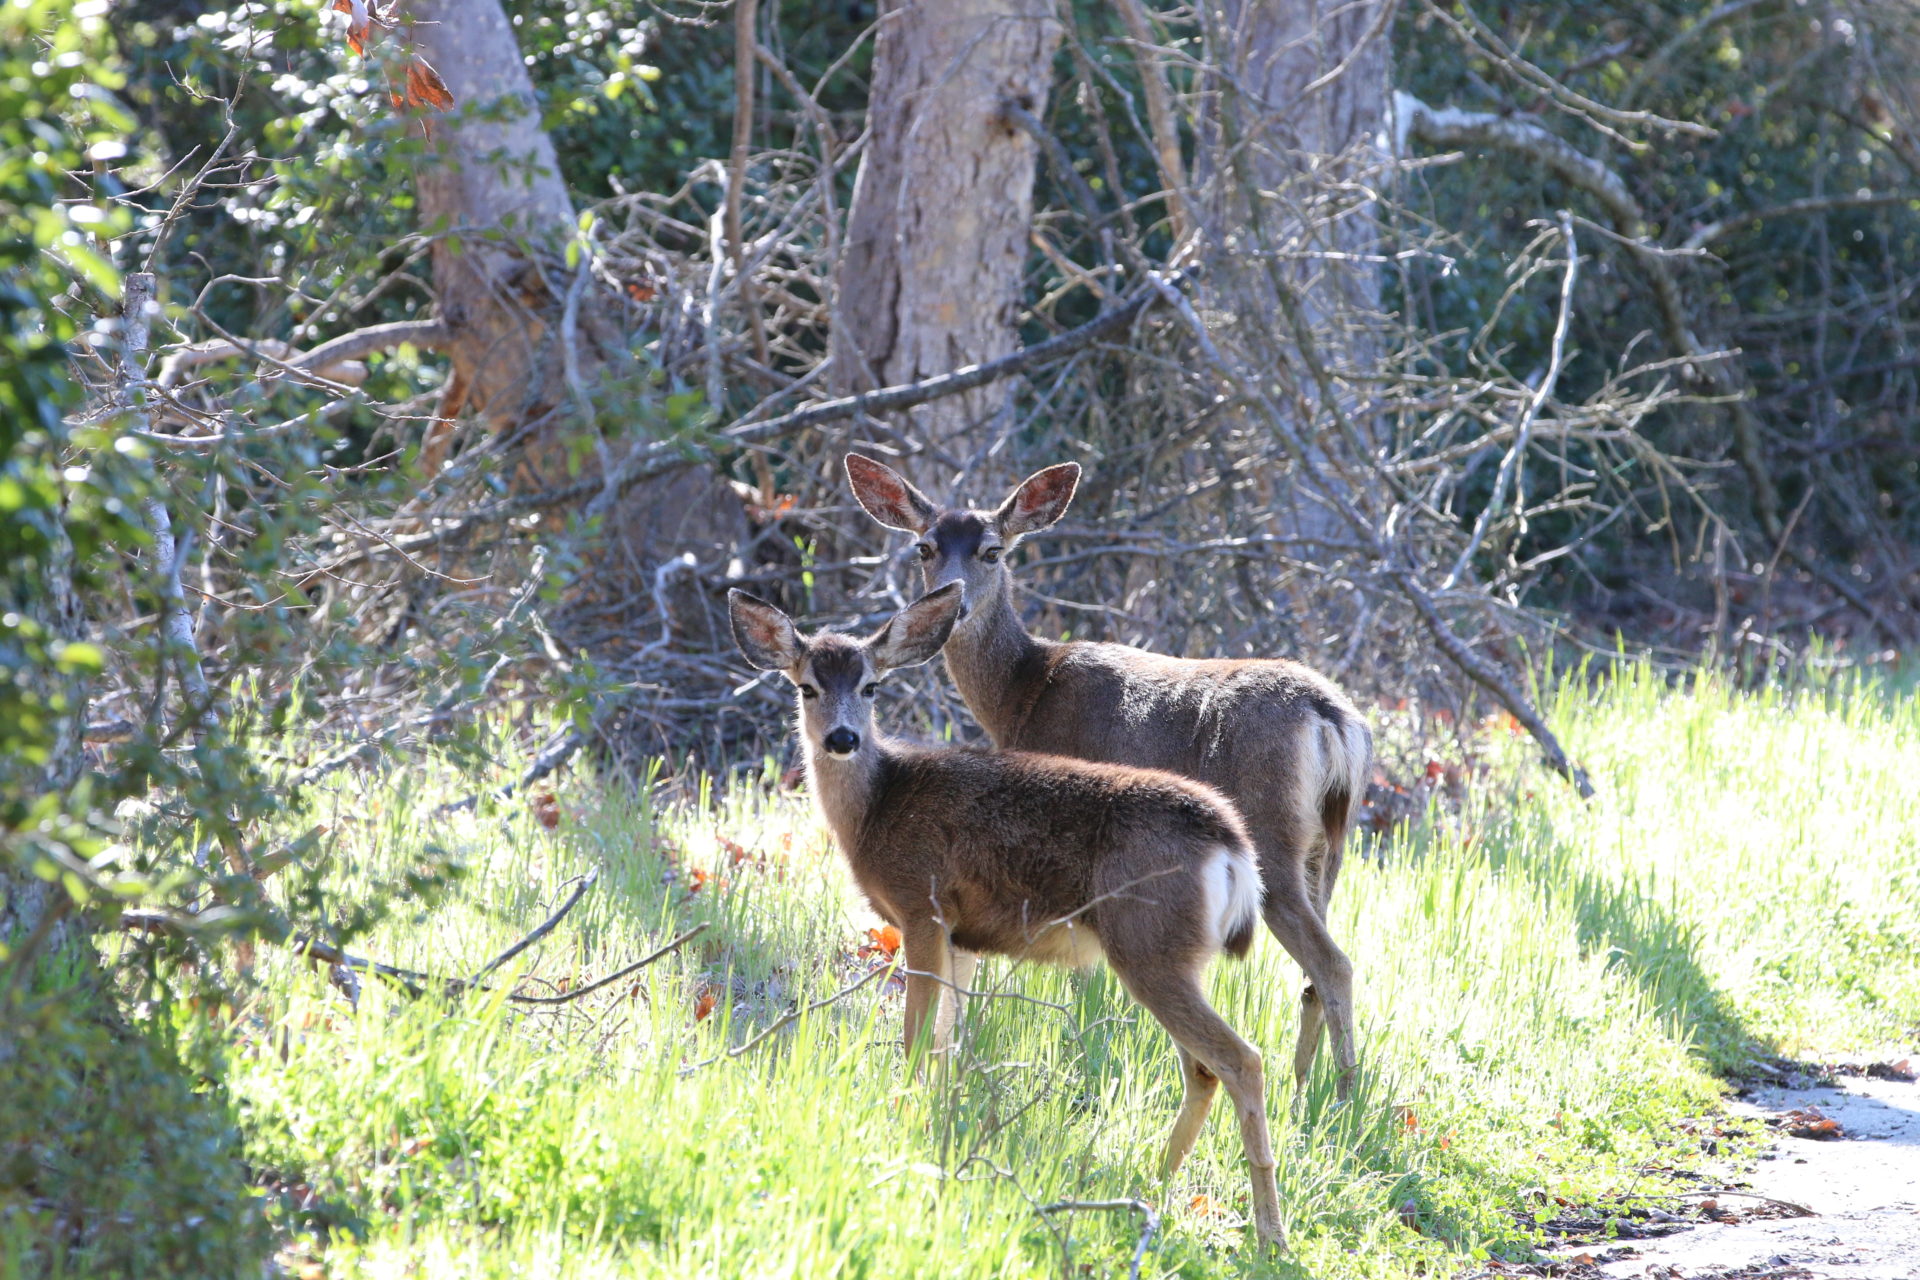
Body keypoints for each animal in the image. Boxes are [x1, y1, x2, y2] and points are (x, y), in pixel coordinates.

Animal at [728, 583, 1289, 1250]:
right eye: (807, 687)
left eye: (871, 686)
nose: (842, 739)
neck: (876, 810)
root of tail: (1234, 847)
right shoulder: (961, 937)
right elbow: (947, 1041)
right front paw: (934, 1122)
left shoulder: (921, 906)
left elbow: (916, 1037)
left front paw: (902, 1119)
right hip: (1172, 956)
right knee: (1203, 1068)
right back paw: (1150, 1182)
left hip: (1147, 947)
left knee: (1240, 1058)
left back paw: (1268, 1231)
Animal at [845, 453, 1371, 1099]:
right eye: (924, 548)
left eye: (992, 551)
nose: (956, 604)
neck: (1020, 693)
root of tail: (1332, 720)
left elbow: (1080, 978)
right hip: (1329, 848)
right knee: (1315, 970)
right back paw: (1306, 1087)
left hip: (1271, 831)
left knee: (1332, 962)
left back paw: (1344, 1095)